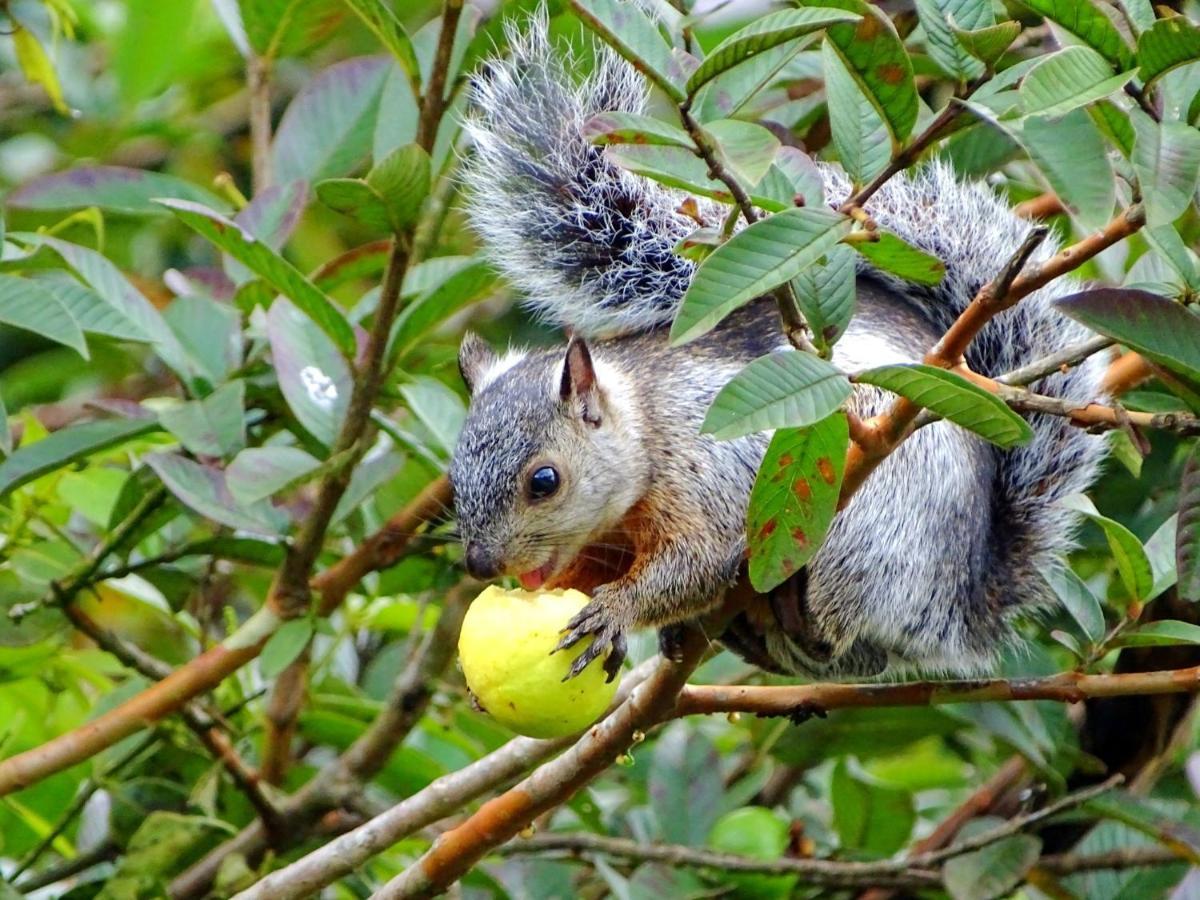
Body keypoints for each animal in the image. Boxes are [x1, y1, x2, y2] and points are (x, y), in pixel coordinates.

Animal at [448, 21, 1104, 681]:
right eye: (454, 476)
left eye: (545, 481)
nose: (480, 565)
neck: (646, 424)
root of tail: (960, 606)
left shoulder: (710, 470)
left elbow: (697, 562)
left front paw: (616, 611)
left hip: (869, 523)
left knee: (838, 629)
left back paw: (800, 611)